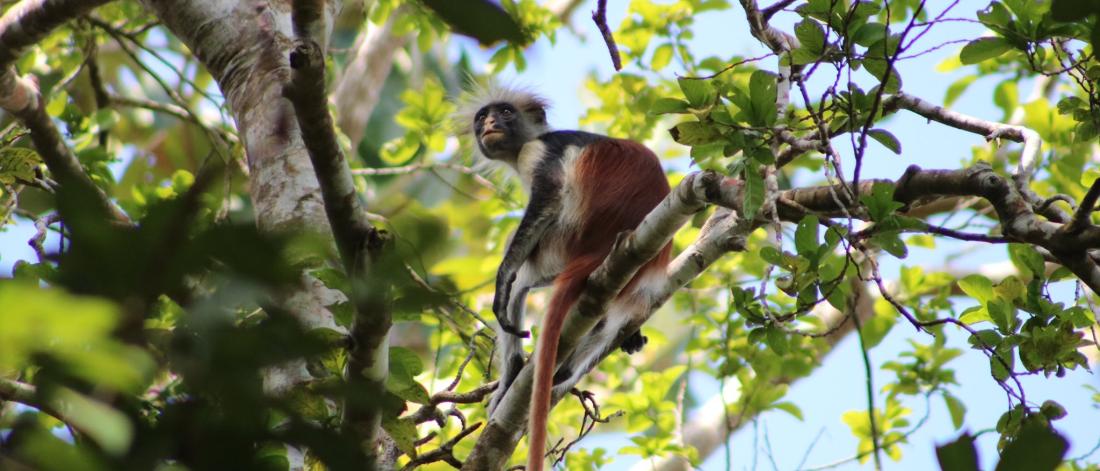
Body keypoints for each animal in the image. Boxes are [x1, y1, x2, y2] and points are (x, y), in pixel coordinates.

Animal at [455, 84, 668, 471]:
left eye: (505, 112)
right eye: (482, 117)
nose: (490, 124)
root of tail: (600, 249)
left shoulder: (540, 153)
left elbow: (549, 196)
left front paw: (503, 279)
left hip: (562, 243)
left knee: (520, 271)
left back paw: (513, 373)